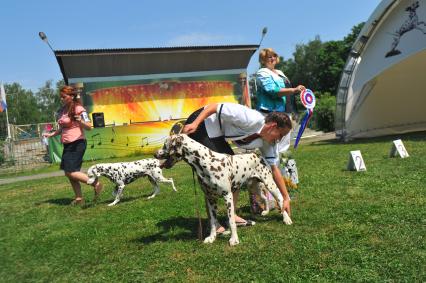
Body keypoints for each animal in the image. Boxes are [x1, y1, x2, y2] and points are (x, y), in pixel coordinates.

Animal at [155, 134, 292, 247]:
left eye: (165, 144)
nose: (155, 154)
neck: (206, 162)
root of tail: (256, 154)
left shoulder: (228, 196)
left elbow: (231, 221)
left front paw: (234, 239)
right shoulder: (210, 199)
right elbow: (213, 222)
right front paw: (212, 237)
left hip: (270, 185)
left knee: (280, 199)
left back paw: (286, 219)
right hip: (254, 188)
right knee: (264, 198)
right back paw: (266, 211)